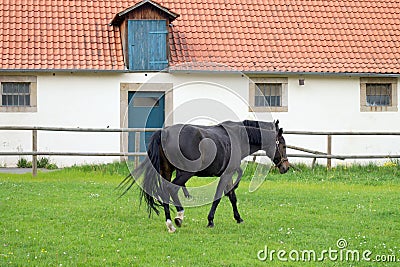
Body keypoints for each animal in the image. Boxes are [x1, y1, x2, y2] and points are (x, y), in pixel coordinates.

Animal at [120, 120, 290, 233]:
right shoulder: (226, 174)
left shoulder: (228, 174)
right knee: (172, 189)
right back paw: (179, 216)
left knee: (165, 191)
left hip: (167, 171)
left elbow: (232, 197)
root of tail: (165, 133)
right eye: (282, 144)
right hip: (185, 173)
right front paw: (210, 220)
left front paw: (238, 218)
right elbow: (219, 196)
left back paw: (170, 224)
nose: (285, 167)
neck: (238, 137)